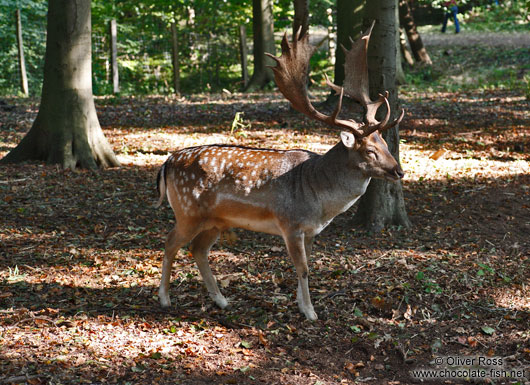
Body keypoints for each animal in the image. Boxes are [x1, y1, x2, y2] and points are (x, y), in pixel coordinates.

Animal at [155, 22, 402, 320]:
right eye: (370, 151)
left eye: (385, 144)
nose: (398, 171)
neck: (320, 199)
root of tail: (168, 162)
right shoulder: (290, 223)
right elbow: (302, 268)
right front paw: (310, 312)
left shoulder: (311, 230)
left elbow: (308, 266)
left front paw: (300, 303)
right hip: (187, 211)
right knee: (170, 243)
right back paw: (165, 299)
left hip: (215, 220)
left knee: (198, 249)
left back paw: (222, 300)